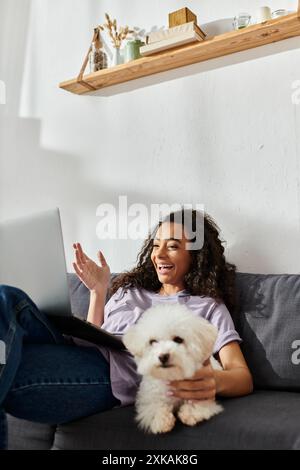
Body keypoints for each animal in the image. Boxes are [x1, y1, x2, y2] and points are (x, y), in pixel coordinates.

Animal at [122, 302, 223, 436]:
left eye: (178, 340)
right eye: (152, 341)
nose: (163, 356)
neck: (171, 376)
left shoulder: (203, 394)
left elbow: (199, 404)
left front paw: (190, 412)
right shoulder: (149, 396)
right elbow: (153, 406)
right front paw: (161, 419)